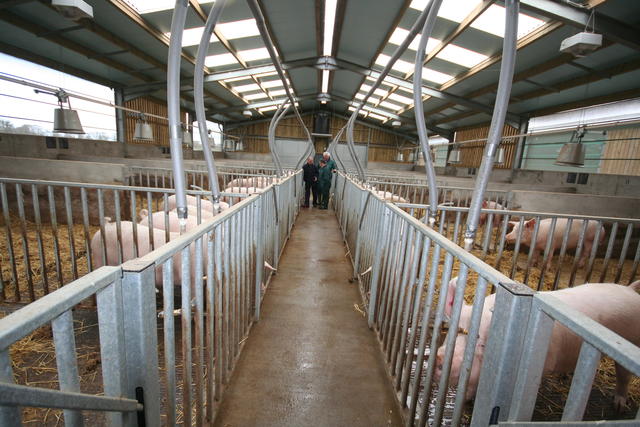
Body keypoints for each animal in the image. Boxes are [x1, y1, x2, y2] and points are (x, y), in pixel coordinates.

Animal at [436, 279, 640, 408]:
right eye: (459, 330)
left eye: (483, 344)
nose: (439, 357)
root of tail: (630, 289)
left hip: (632, 339)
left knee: (624, 375)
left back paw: (619, 405)